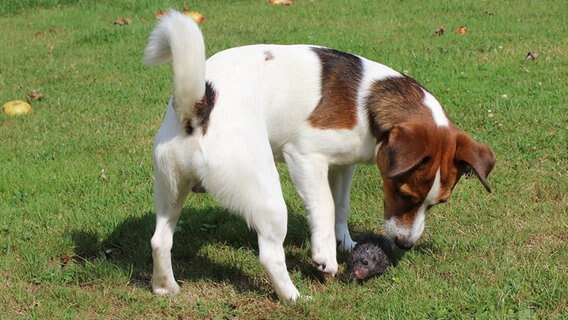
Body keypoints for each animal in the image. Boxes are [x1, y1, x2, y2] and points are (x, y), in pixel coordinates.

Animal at [144, 10, 494, 300]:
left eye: (438, 203)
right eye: (404, 193)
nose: (405, 245)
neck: (369, 106)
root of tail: (198, 108)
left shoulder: (343, 166)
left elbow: (341, 206)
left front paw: (346, 242)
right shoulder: (305, 157)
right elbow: (325, 206)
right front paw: (326, 253)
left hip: (171, 189)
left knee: (160, 240)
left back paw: (165, 287)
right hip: (266, 195)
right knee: (270, 254)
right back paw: (294, 298)